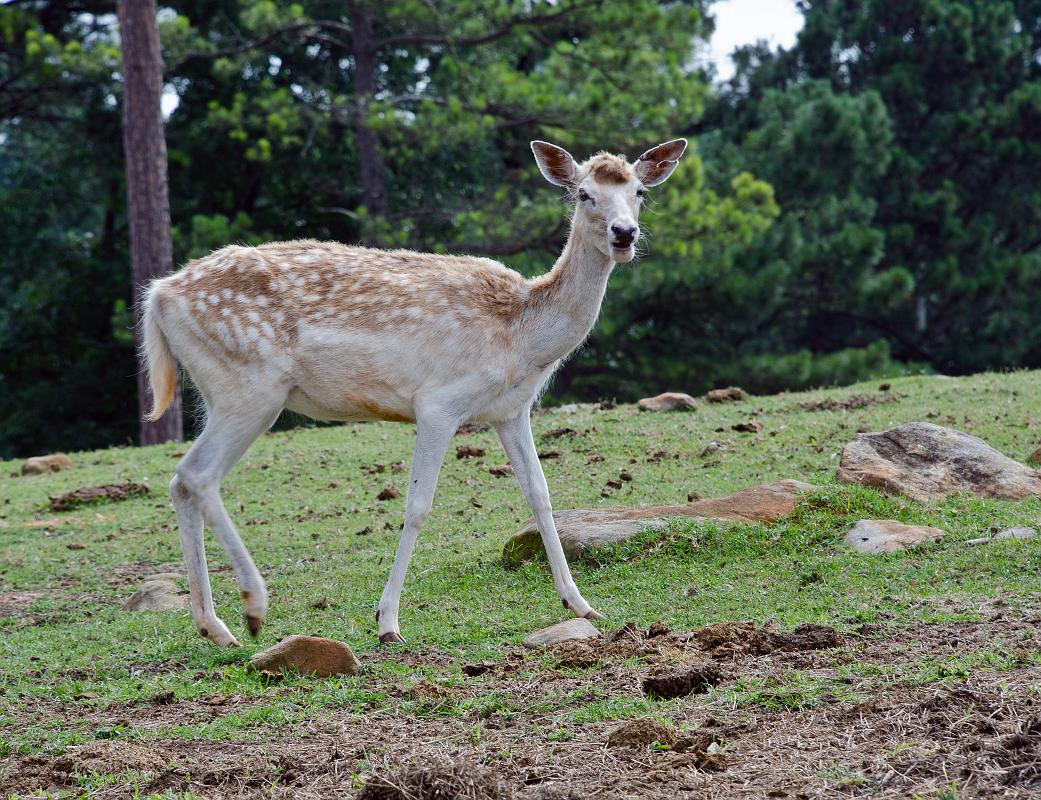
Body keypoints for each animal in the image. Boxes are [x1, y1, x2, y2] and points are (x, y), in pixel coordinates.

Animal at [142, 138, 687, 647]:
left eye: (639, 192)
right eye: (583, 194)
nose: (624, 234)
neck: (521, 338)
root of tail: (159, 295)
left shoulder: (511, 410)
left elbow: (540, 494)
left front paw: (581, 603)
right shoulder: (439, 403)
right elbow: (417, 506)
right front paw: (387, 622)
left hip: (221, 392)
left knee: (182, 481)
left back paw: (213, 626)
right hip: (249, 387)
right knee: (198, 476)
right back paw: (253, 607)